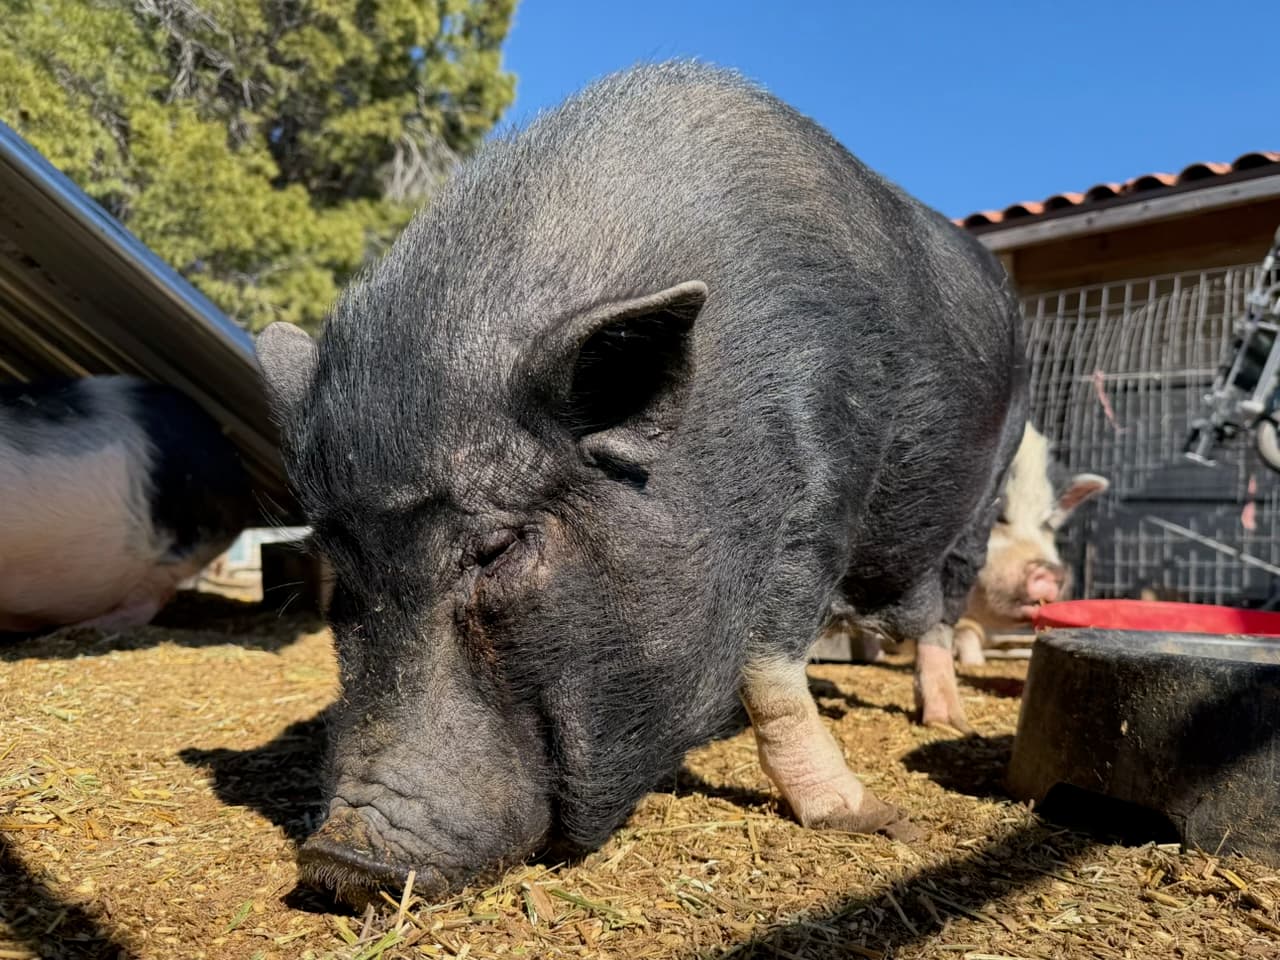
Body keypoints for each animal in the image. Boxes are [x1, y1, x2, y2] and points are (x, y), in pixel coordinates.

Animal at [254, 61, 1028, 907]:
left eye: (496, 549)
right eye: (341, 564)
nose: (338, 859)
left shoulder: (827, 480)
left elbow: (770, 671)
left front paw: (875, 821)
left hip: (993, 482)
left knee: (941, 605)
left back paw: (946, 722)